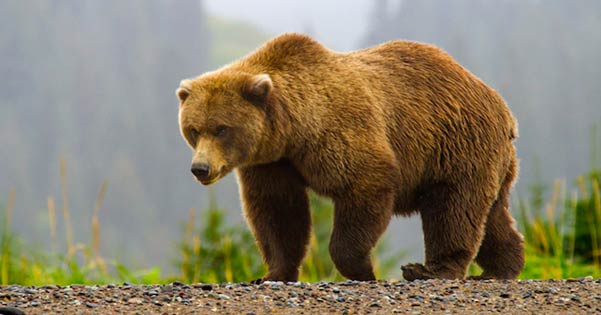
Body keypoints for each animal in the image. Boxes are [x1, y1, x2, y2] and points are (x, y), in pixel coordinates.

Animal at [176, 33, 524, 282]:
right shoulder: (272, 162)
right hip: (487, 158)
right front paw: (271, 274)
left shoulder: (339, 132)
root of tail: (501, 105)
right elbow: (277, 211)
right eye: (193, 129)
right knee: (492, 214)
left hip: (455, 143)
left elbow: (365, 184)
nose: (200, 168)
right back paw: (502, 267)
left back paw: (430, 270)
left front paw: (363, 269)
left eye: (221, 128)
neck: (293, 131)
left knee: (453, 208)